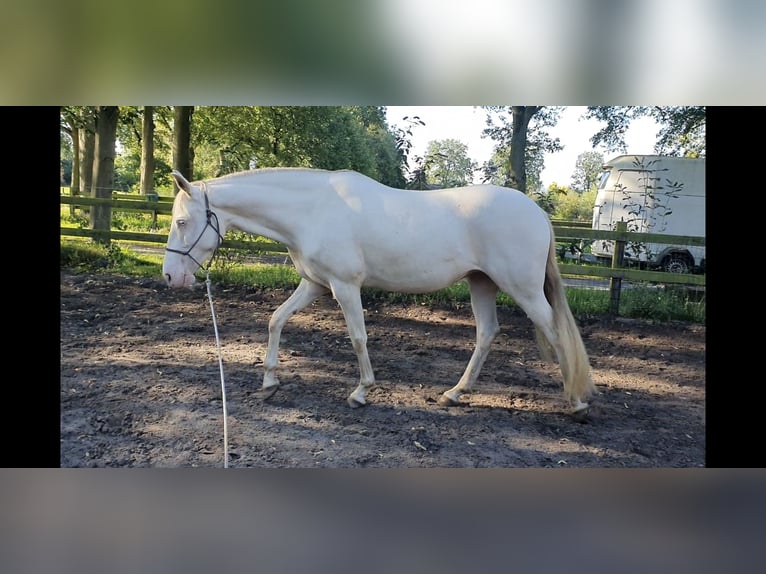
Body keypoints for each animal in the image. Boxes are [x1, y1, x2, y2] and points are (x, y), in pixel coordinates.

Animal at [162, 169, 596, 416]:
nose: (170, 276)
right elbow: (276, 320)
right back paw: (455, 394)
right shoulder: (315, 284)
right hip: (481, 283)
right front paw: (269, 383)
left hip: (522, 289)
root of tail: (538, 212)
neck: (312, 210)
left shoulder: (344, 286)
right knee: (487, 333)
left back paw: (575, 402)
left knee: (555, 333)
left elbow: (358, 337)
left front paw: (361, 392)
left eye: (182, 222)